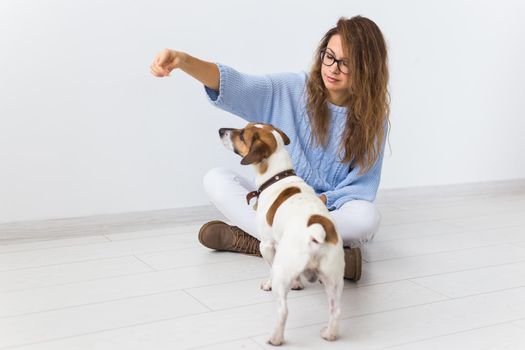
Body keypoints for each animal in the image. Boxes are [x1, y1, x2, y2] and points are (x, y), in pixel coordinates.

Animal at [217, 122, 344, 344]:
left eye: (241, 135)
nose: (220, 131)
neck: (277, 177)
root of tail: (316, 230)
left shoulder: (266, 245)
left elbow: (269, 267)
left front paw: (269, 284)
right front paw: (298, 283)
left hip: (283, 272)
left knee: (283, 310)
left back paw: (275, 338)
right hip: (333, 278)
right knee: (335, 310)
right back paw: (329, 334)